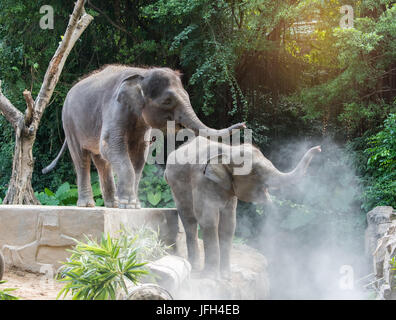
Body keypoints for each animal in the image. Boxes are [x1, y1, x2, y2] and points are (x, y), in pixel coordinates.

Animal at [41, 65, 243, 210]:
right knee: (81, 158)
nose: (243, 124)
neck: (142, 73)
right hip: (69, 122)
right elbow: (111, 146)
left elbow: (139, 155)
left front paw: (134, 205)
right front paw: (129, 205)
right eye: (167, 101)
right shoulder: (115, 107)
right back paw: (88, 205)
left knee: (101, 160)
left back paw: (112, 205)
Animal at [165, 136, 322, 278]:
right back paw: (195, 268)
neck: (228, 151)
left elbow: (229, 224)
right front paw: (210, 277)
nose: (319, 148)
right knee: (189, 219)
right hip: (176, 186)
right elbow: (208, 220)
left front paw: (226, 276)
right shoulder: (201, 181)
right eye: (256, 172)